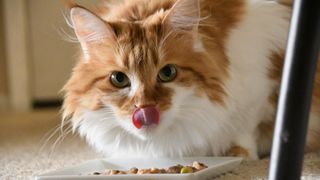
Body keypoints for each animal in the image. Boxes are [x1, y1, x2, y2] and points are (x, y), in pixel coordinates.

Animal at [61, 0, 318, 160]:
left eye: (167, 73)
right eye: (119, 79)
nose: (145, 108)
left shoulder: (262, 84)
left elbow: (245, 128)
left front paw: (241, 154)